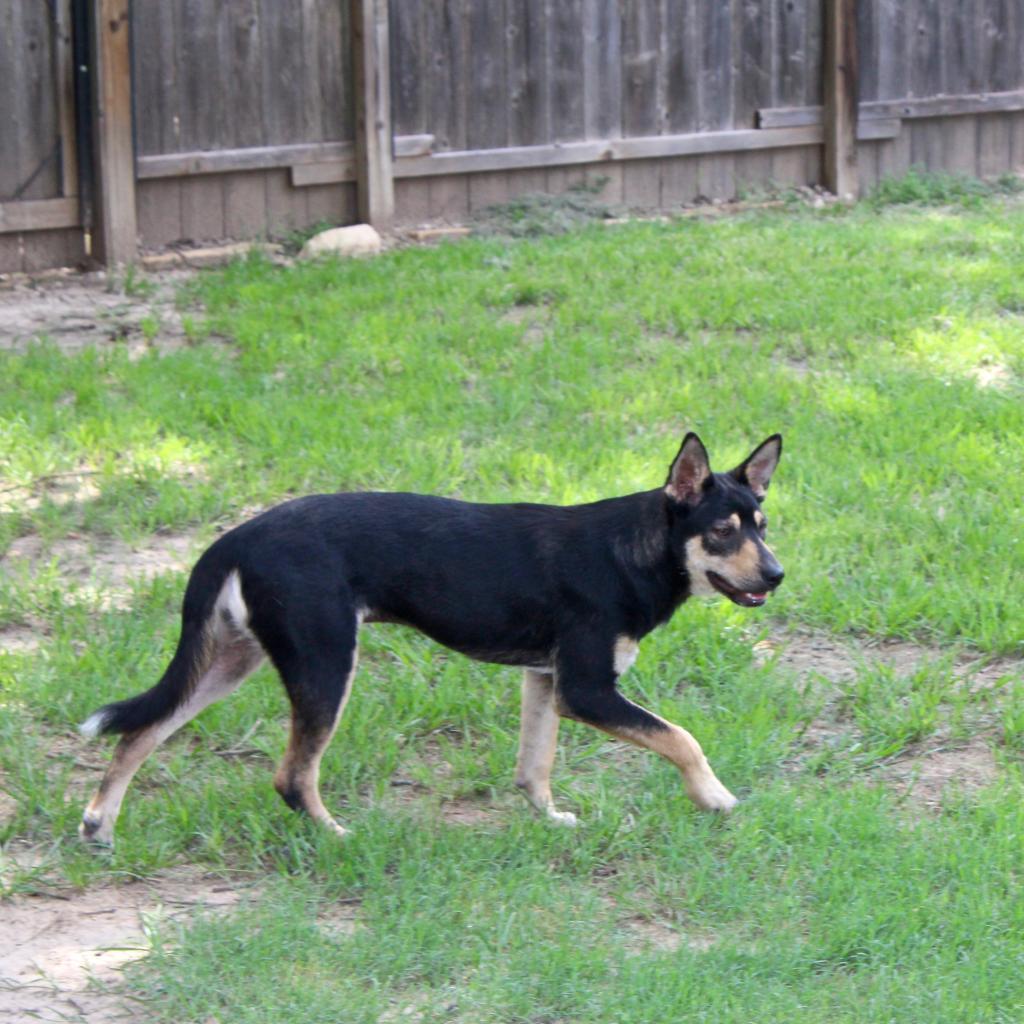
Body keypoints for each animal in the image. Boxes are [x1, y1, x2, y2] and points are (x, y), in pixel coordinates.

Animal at [79, 430, 782, 839]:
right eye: (723, 531)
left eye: (763, 524)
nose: (776, 575)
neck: (631, 551)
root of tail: (236, 538)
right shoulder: (587, 689)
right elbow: (682, 738)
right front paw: (715, 799)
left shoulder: (546, 680)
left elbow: (535, 765)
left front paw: (550, 819)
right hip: (324, 661)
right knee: (292, 777)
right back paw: (337, 837)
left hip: (232, 659)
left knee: (141, 731)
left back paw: (98, 824)